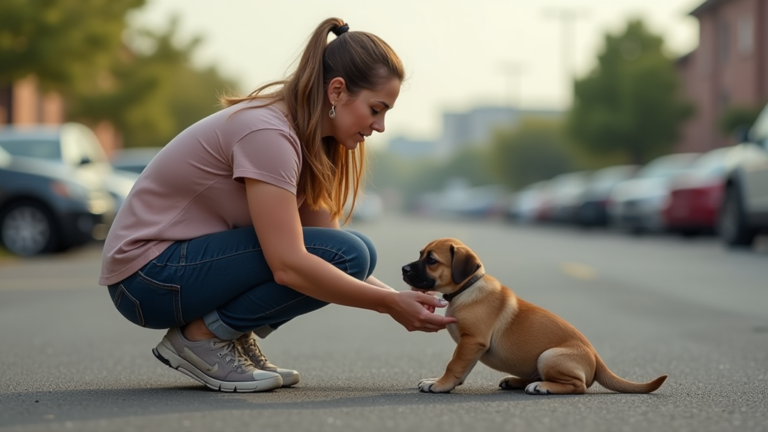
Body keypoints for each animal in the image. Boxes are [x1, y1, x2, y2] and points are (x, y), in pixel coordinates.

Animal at [402, 238, 664, 396]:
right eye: (420, 254)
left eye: (431, 260)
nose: (403, 269)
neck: (467, 288)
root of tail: (596, 358)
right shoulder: (472, 346)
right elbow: (461, 368)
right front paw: (446, 383)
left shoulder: (472, 341)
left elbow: (454, 364)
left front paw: (439, 384)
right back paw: (517, 381)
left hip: (549, 356)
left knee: (578, 386)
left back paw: (541, 386)